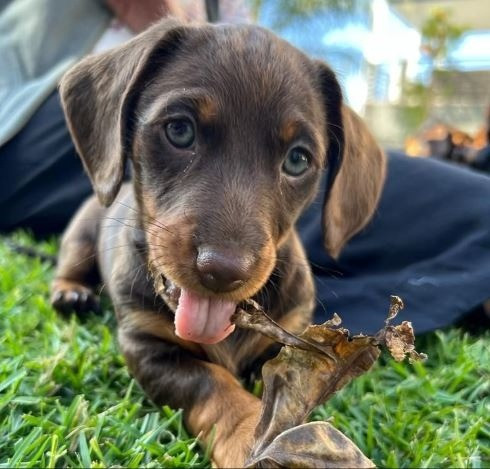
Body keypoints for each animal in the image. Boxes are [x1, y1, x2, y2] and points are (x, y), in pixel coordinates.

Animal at [50, 19, 386, 468]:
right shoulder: (146, 345)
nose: (223, 270)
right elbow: (210, 383)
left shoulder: (290, 337)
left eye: (298, 160)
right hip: (82, 235)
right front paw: (249, 433)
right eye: (179, 130)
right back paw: (72, 293)